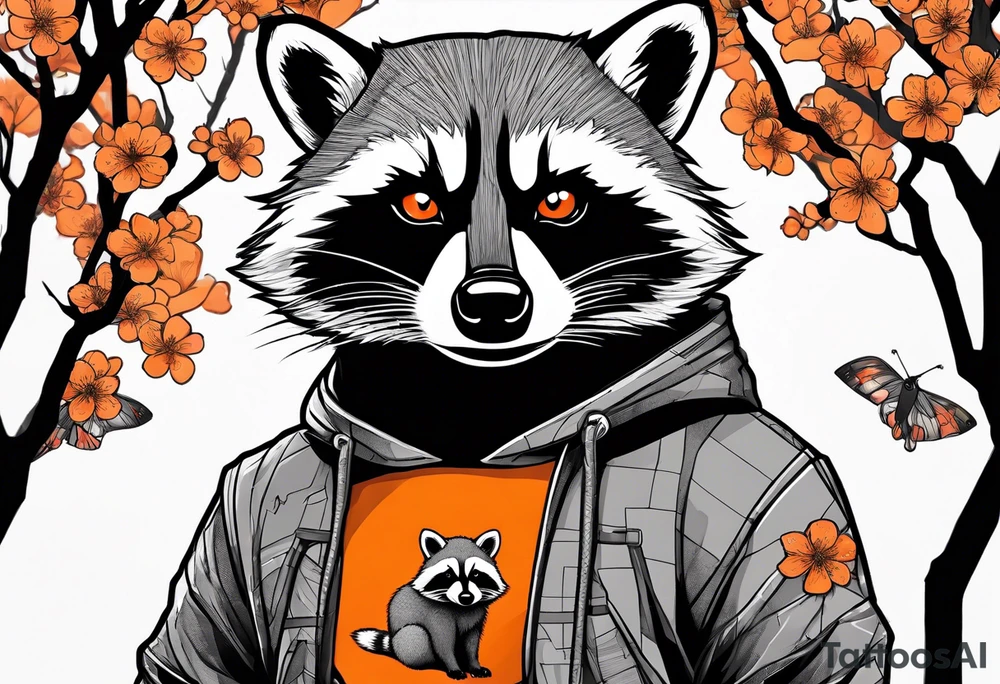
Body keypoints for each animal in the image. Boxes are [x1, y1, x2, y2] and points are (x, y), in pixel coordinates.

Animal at [351, 529, 507, 679]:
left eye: (475, 574)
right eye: (448, 575)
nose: (466, 597)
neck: (461, 607)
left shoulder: (476, 616)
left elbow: (472, 643)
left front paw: (474, 666)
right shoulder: (436, 615)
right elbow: (443, 642)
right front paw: (453, 667)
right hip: (407, 642)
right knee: (415, 633)